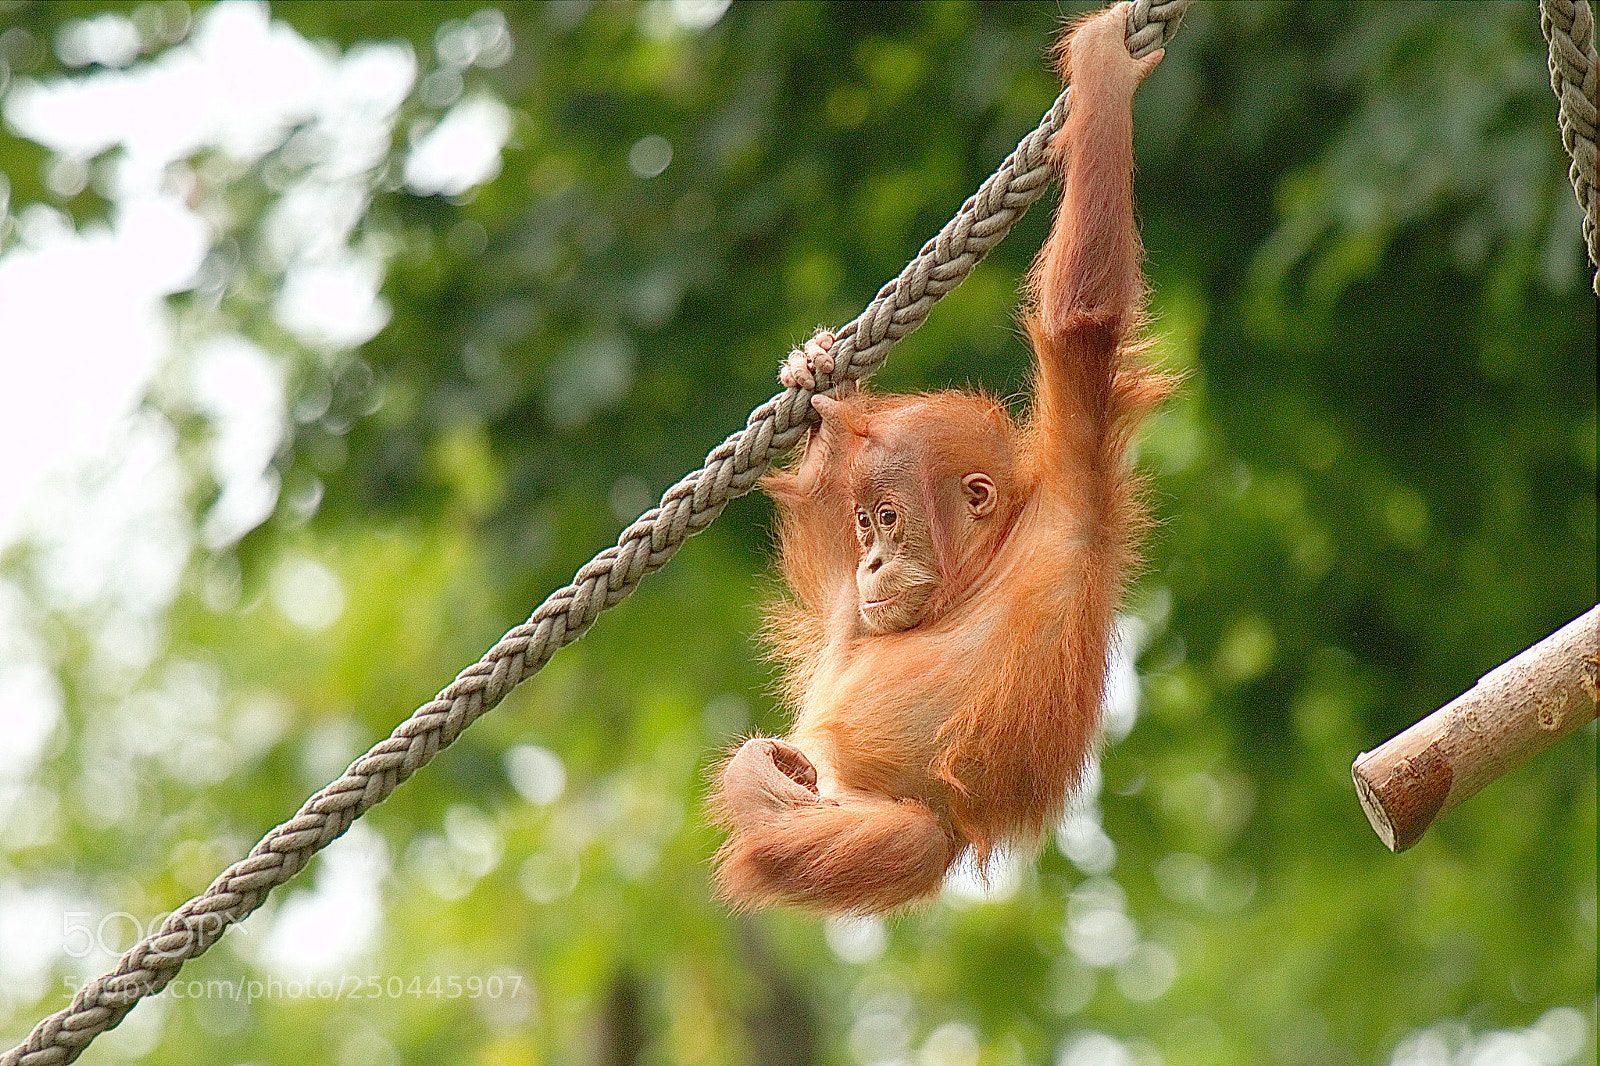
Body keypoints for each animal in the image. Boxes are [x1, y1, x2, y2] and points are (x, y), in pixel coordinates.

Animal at [710, 3, 1171, 914]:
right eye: (864, 526)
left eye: (891, 519)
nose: (874, 559)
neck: (976, 575)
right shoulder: (850, 611)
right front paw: (817, 379)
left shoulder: (1078, 484)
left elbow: (1080, 321)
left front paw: (1103, 70)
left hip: (914, 831)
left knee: (908, 834)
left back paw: (770, 797)